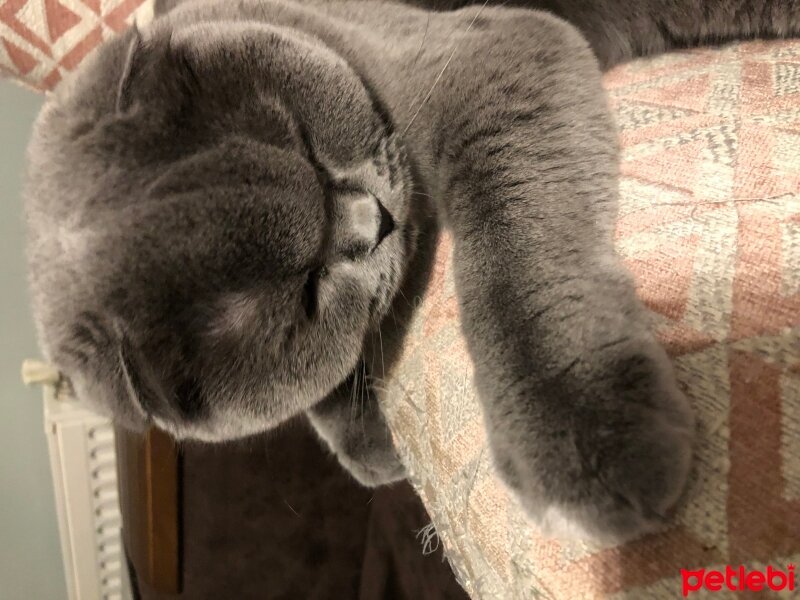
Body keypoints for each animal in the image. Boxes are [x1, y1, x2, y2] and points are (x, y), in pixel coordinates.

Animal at [25, 0, 800, 544]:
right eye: (306, 294)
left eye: (305, 144)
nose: (372, 222)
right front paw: (366, 437)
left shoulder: (487, 50)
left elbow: (514, 259)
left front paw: (586, 433)